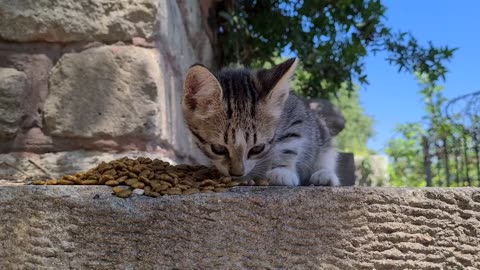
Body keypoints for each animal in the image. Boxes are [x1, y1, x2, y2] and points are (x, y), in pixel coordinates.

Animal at [182, 58, 340, 187]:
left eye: (257, 149)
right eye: (218, 148)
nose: (237, 173)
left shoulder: (296, 114)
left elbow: (289, 143)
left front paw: (282, 171)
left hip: (321, 130)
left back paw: (324, 175)